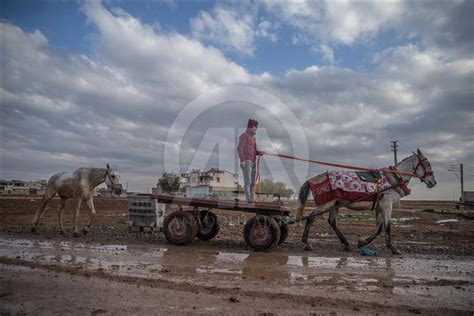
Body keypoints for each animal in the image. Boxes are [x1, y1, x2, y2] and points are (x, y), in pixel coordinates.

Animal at [298, 149, 436, 256]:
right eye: (428, 164)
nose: (433, 182)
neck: (393, 179)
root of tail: (314, 179)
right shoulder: (387, 205)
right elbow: (387, 226)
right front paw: (393, 248)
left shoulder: (380, 207)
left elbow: (379, 227)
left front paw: (363, 242)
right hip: (326, 204)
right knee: (311, 217)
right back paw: (306, 243)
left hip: (335, 204)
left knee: (332, 221)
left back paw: (346, 244)